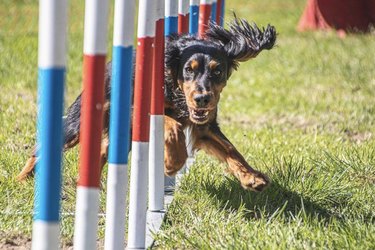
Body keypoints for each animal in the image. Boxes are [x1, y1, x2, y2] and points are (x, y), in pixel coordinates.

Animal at [17, 17, 276, 192]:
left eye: (218, 70)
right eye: (188, 70)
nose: (202, 98)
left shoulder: (204, 126)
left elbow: (230, 149)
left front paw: (251, 177)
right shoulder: (137, 109)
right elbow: (171, 124)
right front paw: (173, 161)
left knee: (101, 151)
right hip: (80, 121)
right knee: (45, 147)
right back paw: (20, 180)